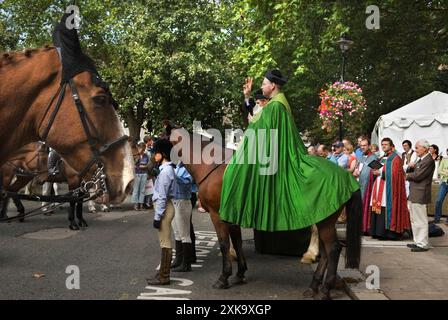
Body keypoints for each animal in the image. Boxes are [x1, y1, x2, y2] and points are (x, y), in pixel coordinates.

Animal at [170, 129, 362, 298]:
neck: (212, 168)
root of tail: (347, 177)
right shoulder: (232, 217)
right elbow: (237, 243)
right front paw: (240, 274)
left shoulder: (217, 215)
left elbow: (224, 244)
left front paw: (223, 278)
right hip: (323, 220)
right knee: (325, 251)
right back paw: (313, 286)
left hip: (325, 221)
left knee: (333, 249)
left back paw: (324, 289)